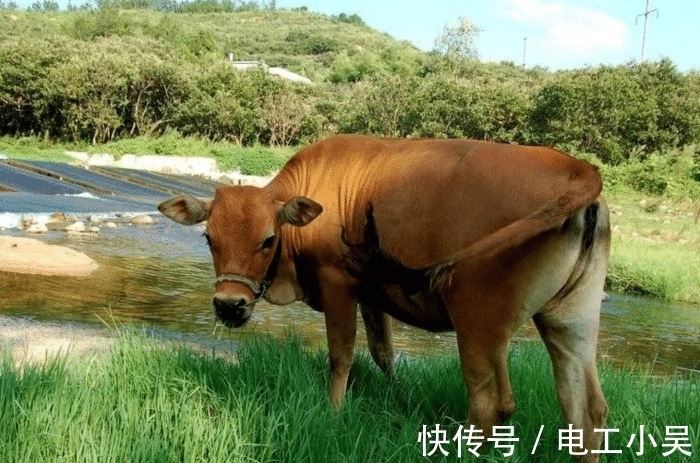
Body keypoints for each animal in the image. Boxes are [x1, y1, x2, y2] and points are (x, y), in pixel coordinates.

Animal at [157, 135, 608, 460]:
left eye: (268, 240)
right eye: (208, 238)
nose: (229, 305)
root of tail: (577, 168)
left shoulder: (338, 285)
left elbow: (341, 355)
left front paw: (334, 411)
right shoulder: (370, 295)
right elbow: (383, 352)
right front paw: (398, 398)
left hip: (478, 324)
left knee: (492, 406)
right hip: (570, 324)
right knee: (586, 409)